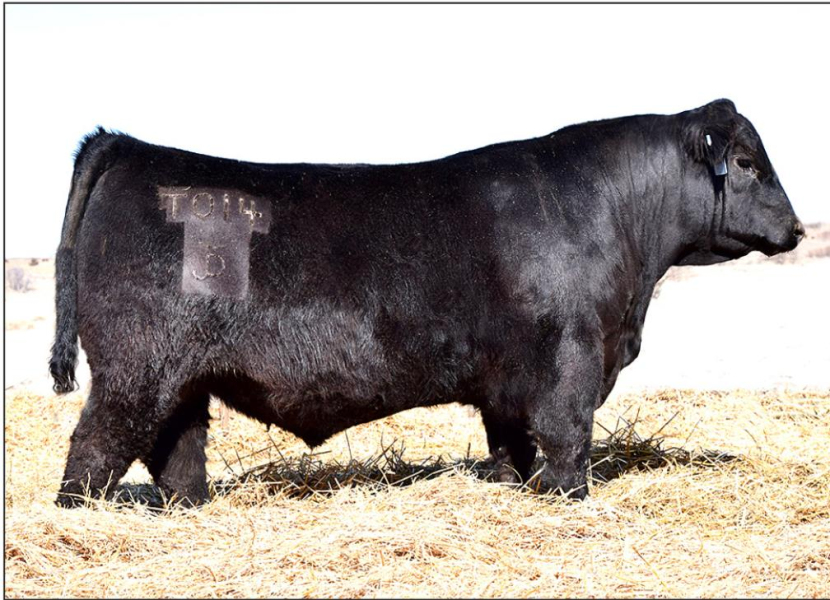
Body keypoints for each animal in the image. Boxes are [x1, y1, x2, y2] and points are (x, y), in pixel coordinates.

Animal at [50, 99, 803, 507]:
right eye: (744, 162)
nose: (797, 229)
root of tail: (128, 148)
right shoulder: (570, 360)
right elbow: (567, 440)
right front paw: (571, 501)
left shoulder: (507, 383)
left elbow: (512, 449)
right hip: (132, 371)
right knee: (94, 450)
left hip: (180, 379)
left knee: (176, 453)